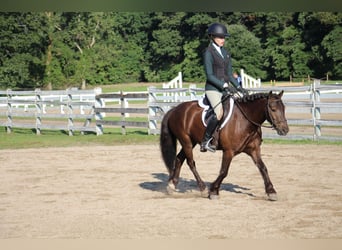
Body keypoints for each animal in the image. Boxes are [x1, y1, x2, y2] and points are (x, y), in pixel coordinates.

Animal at [160, 92, 288, 201]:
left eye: (284, 108)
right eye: (273, 109)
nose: (285, 130)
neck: (245, 120)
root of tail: (175, 109)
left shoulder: (254, 150)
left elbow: (263, 168)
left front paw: (271, 191)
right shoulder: (228, 151)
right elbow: (223, 171)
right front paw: (213, 191)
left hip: (192, 141)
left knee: (179, 158)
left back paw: (171, 185)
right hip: (186, 141)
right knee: (191, 163)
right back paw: (202, 188)